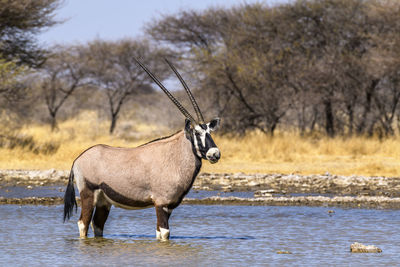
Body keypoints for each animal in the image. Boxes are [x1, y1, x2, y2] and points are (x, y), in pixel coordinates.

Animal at [63, 58, 220, 241]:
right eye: (197, 133)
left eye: (210, 132)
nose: (215, 153)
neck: (174, 154)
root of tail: (78, 159)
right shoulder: (161, 203)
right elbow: (164, 233)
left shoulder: (169, 207)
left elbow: (159, 233)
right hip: (88, 194)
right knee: (83, 223)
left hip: (104, 202)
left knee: (97, 225)